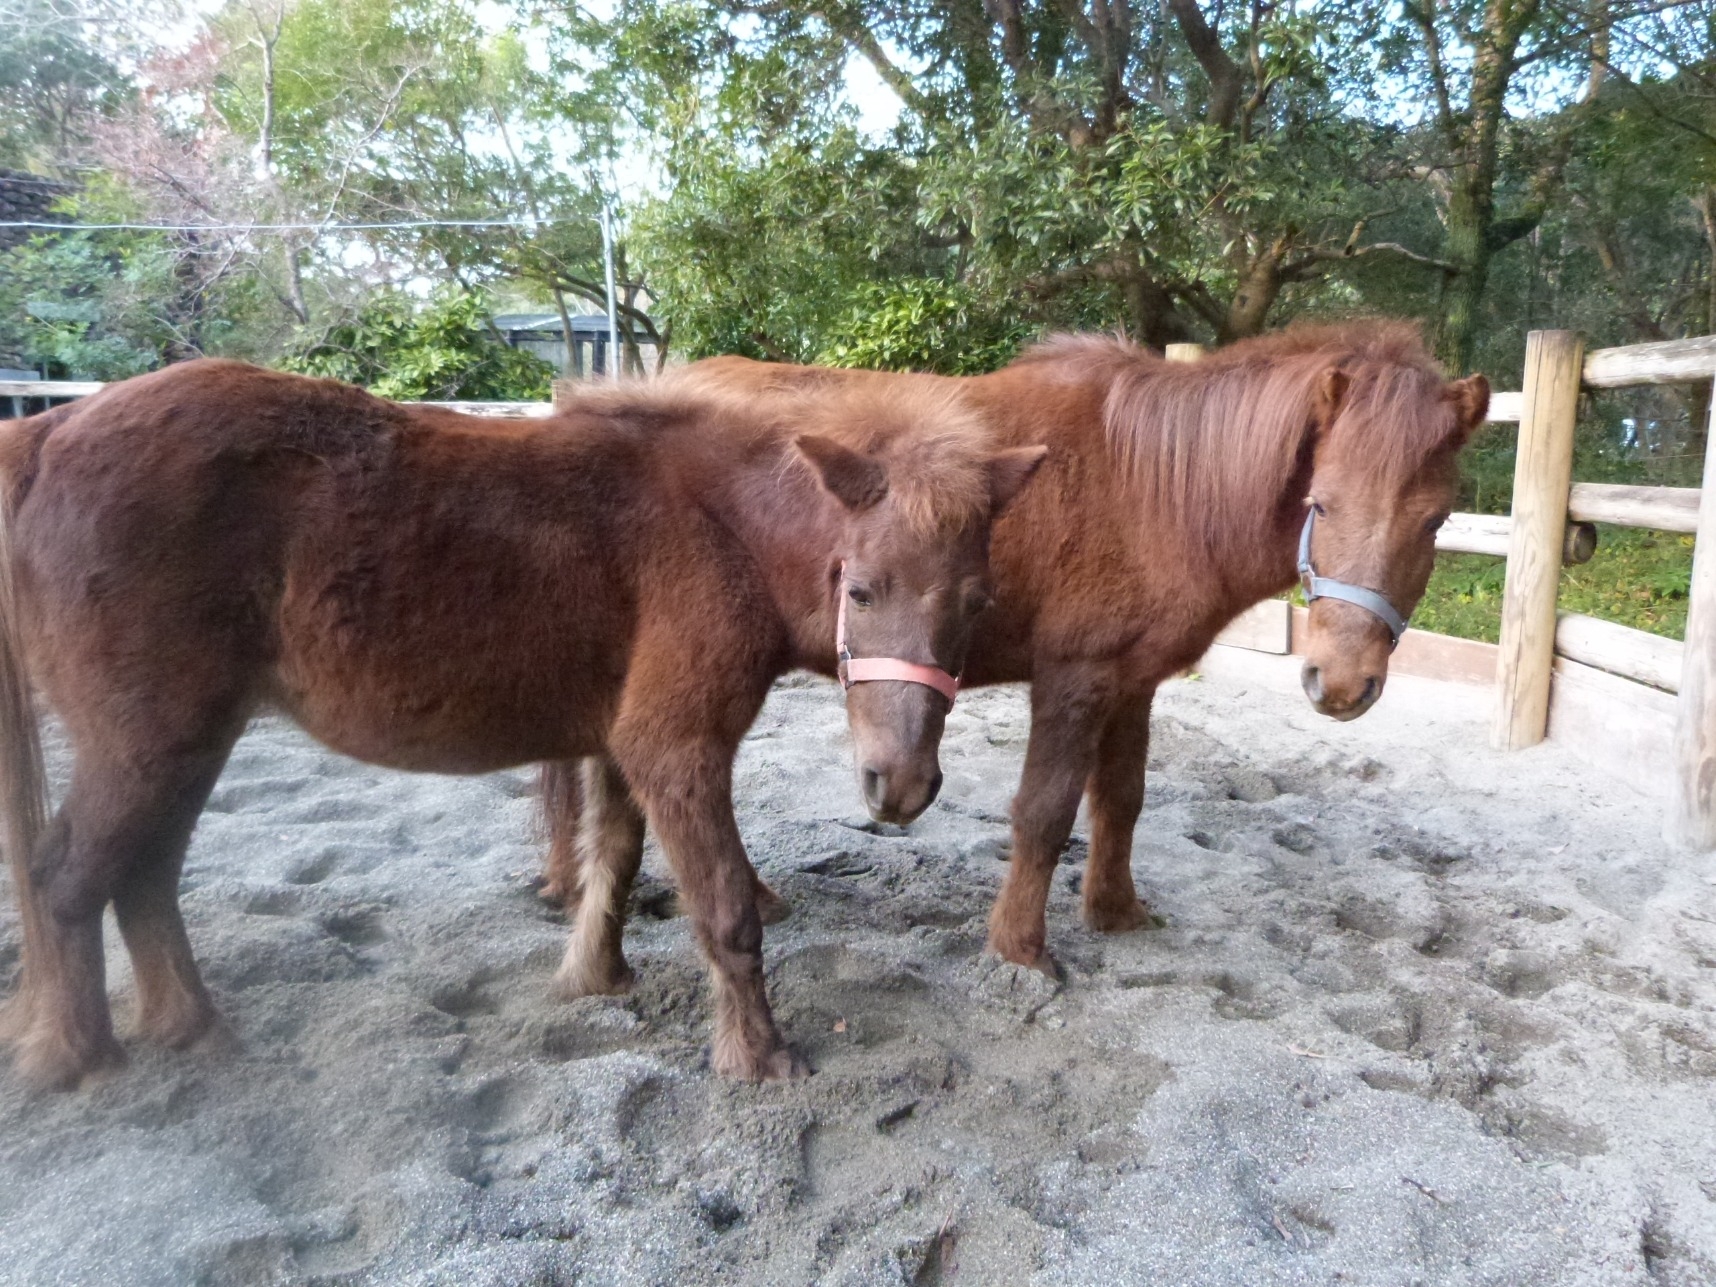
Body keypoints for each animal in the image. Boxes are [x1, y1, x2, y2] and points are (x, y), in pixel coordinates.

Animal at [0, 360, 1043, 1091]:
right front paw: (758, 1057)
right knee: (66, 879)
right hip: (148, 744)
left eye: (977, 604)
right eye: (859, 589)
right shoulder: (677, 747)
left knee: (143, 875)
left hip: (187, 745)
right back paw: (87, 1058)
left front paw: (595, 975)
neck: (717, 524)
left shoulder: (622, 744)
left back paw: (192, 1028)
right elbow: (725, 909)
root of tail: (47, 433)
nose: (900, 786)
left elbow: (612, 858)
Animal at [555, 324, 1482, 974]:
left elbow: (1121, 801)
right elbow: (1044, 811)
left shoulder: (1133, 682)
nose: (1342, 683)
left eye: (1436, 519)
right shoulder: (1074, 677)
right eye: (1320, 504)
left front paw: (1116, 912)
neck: (1150, 487)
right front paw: (1020, 949)